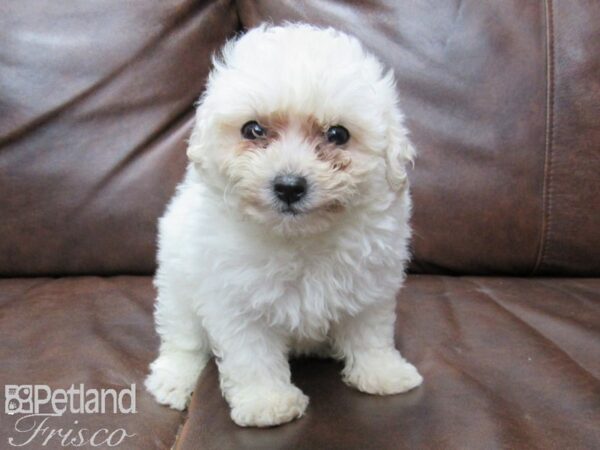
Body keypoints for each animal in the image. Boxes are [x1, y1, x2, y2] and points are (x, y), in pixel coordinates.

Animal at [145, 22, 422, 428]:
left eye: (338, 134)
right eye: (253, 130)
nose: (289, 186)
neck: (300, 237)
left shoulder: (369, 285)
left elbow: (370, 333)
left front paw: (383, 373)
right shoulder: (236, 299)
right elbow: (252, 355)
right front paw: (267, 403)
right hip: (177, 288)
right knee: (183, 339)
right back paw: (174, 379)